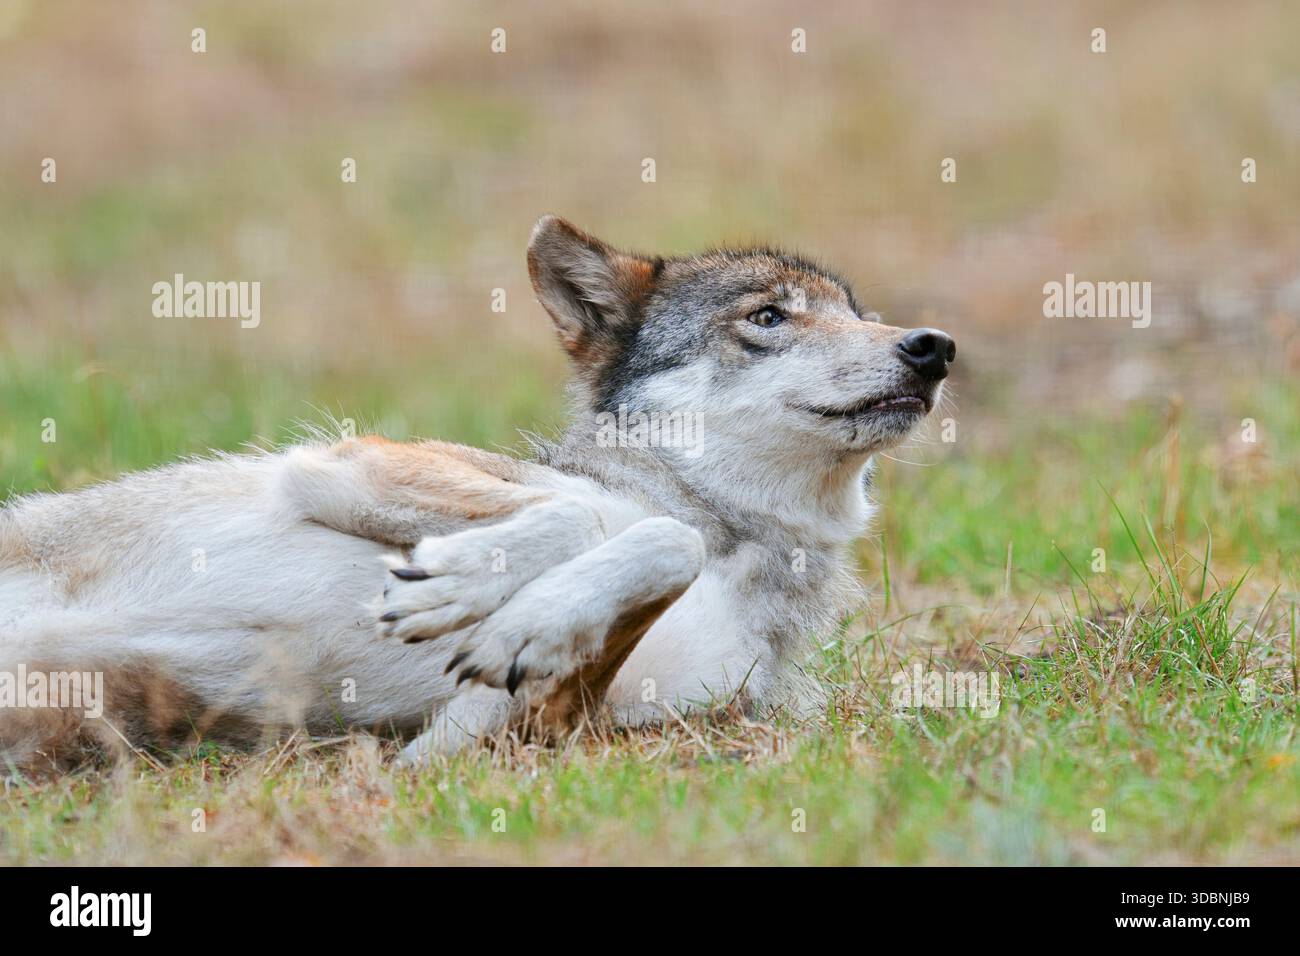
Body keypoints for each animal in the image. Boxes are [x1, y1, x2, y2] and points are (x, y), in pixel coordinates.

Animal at [0, 217, 954, 774]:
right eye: (768, 317)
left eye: (859, 313)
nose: (933, 347)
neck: (749, 546)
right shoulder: (348, 462)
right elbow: (617, 524)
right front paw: (476, 594)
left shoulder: (535, 725)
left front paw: (521, 625)